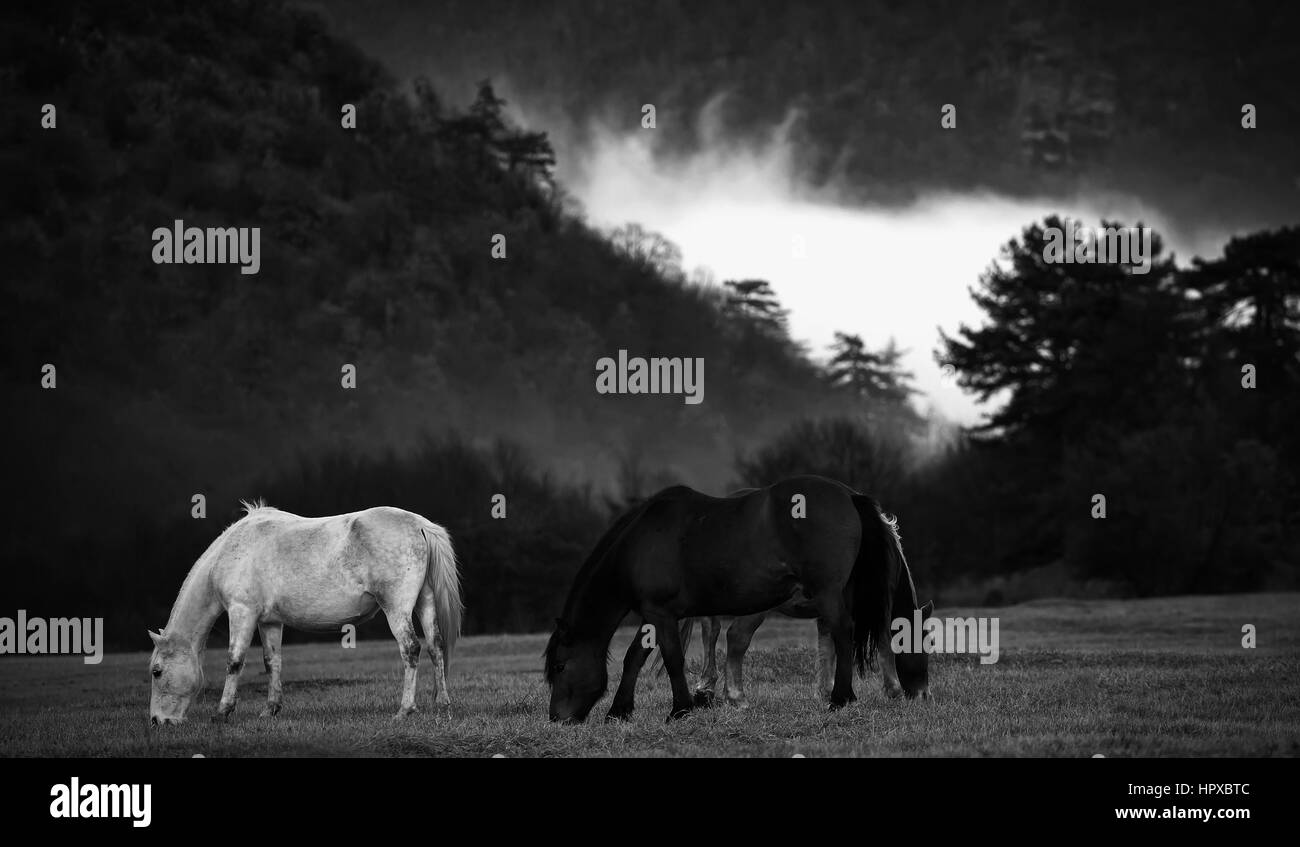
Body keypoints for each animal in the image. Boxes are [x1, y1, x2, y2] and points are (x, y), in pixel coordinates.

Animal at [148, 502, 462, 725]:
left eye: (157, 671)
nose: (157, 721)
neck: (234, 550)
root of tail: (420, 525)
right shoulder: (269, 622)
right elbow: (272, 662)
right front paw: (270, 709)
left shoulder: (242, 612)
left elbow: (234, 662)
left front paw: (222, 712)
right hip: (425, 603)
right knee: (435, 647)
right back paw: (442, 704)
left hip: (396, 609)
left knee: (411, 649)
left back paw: (405, 710)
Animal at [544, 475, 932, 723]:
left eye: (560, 667)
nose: (558, 719)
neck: (640, 543)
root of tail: (850, 495)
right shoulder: (655, 613)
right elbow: (634, 658)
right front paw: (619, 711)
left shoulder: (661, 613)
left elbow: (671, 659)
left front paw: (680, 710)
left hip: (828, 593)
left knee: (842, 632)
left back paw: (840, 698)